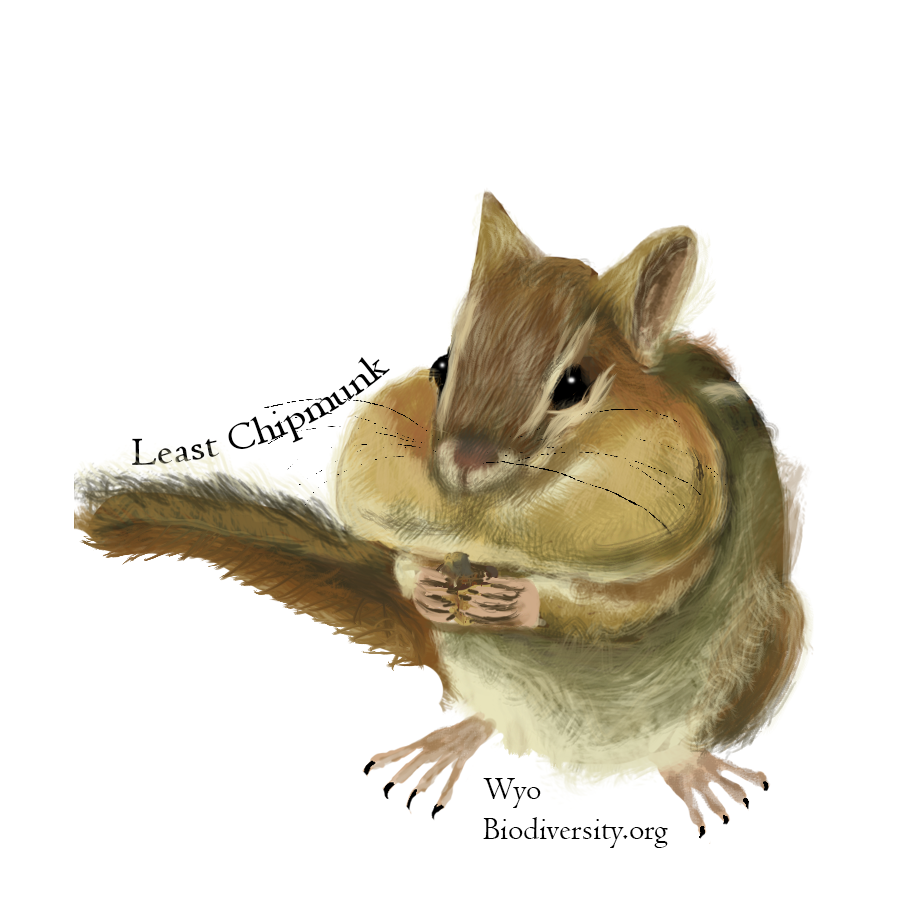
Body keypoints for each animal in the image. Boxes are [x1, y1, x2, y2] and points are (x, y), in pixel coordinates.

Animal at [75, 191, 806, 837]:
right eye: (443, 365)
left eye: (573, 385)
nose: (464, 459)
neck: (490, 523)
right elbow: (407, 560)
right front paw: (427, 583)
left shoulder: (684, 542)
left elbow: (632, 601)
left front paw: (520, 602)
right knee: (488, 718)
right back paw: (444, 745)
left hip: (763, 647)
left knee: (675, 744)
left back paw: (699, 774)